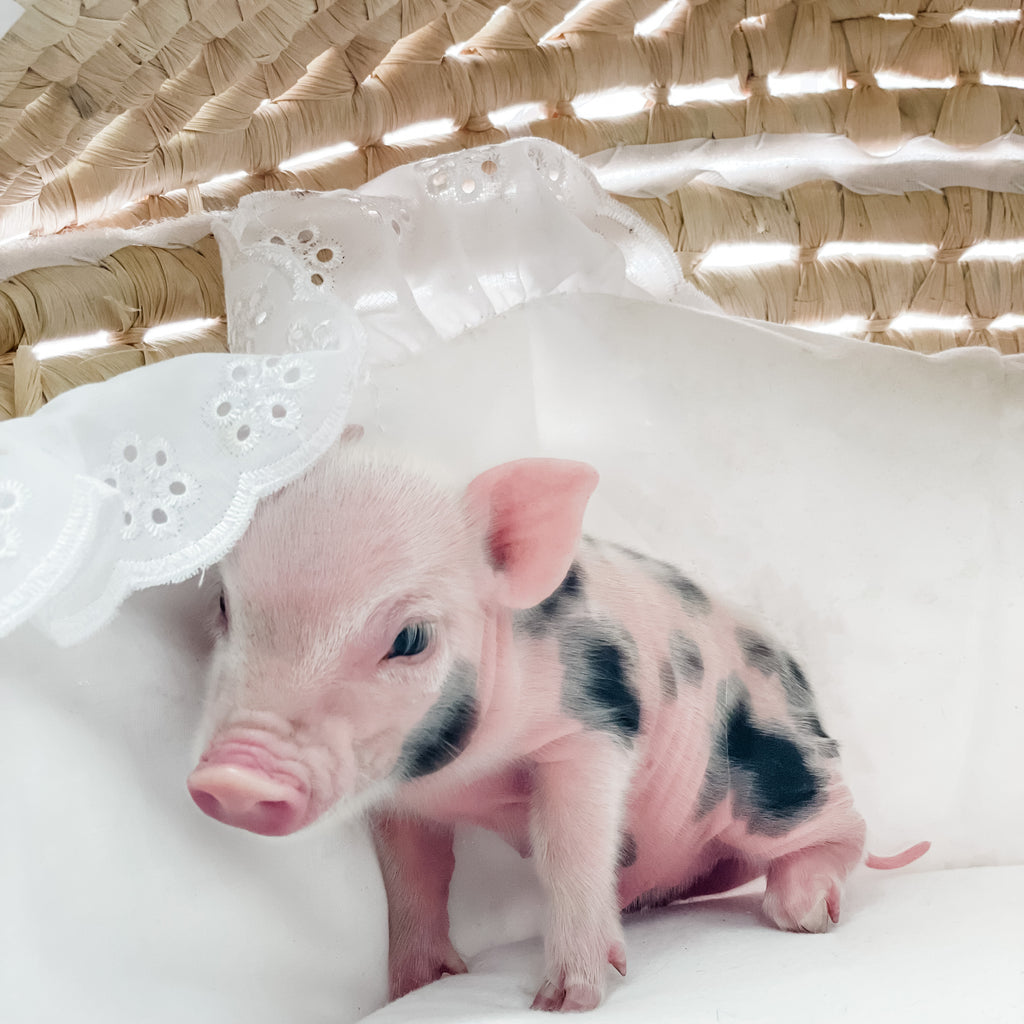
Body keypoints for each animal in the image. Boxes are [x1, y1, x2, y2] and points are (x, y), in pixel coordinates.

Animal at [187, 437, 928, 1012]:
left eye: (410, 638)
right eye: (224, 605)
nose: (234, 778)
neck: (462, 773)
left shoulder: (595, 728)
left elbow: (570, 848)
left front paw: (567, 998)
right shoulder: (397, 796)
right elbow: (413, 877)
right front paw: (420, 988)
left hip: (775, 771)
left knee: (845, 827)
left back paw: (806, 912)